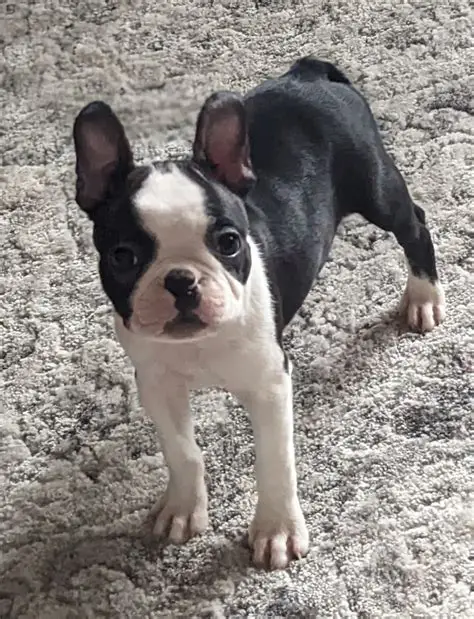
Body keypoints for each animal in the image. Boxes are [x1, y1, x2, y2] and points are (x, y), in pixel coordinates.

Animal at [72, 56, 445, 570]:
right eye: (123, 257)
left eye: (230, 242)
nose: (181, 280)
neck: (199, 345)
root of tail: (307, 74)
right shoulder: (157, 384)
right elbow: (182, 450)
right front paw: (184, 508)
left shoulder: (269, 385)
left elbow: (274, 460)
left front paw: (276, 530)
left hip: (376, 188)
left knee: (415, 226)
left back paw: (423, 296)